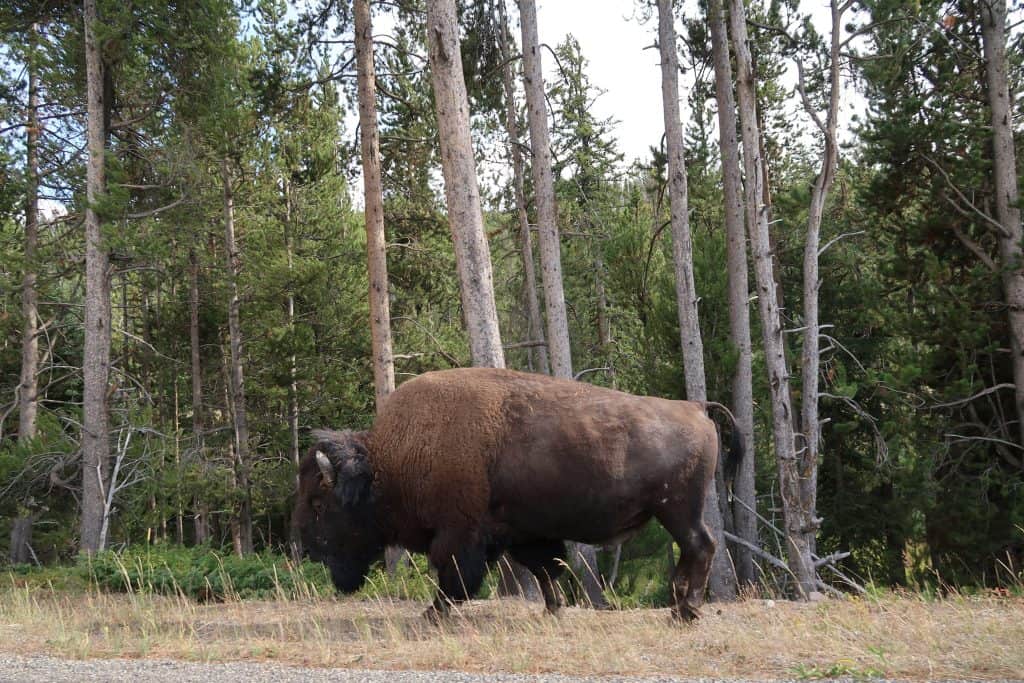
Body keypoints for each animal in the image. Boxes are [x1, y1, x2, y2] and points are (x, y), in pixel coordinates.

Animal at [292, 366, 741, 622]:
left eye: (318, 503)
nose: (305, 545)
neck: (393, 459)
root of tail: (694, 407)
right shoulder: (525, 533)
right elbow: (546, 568)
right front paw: (553, 609)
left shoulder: (459, 533)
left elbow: (453, 575)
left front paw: (433, 612)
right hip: (674, 511)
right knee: (696, 549)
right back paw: (679, 605)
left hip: (678, 509)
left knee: (701, 546)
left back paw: (687, 610)